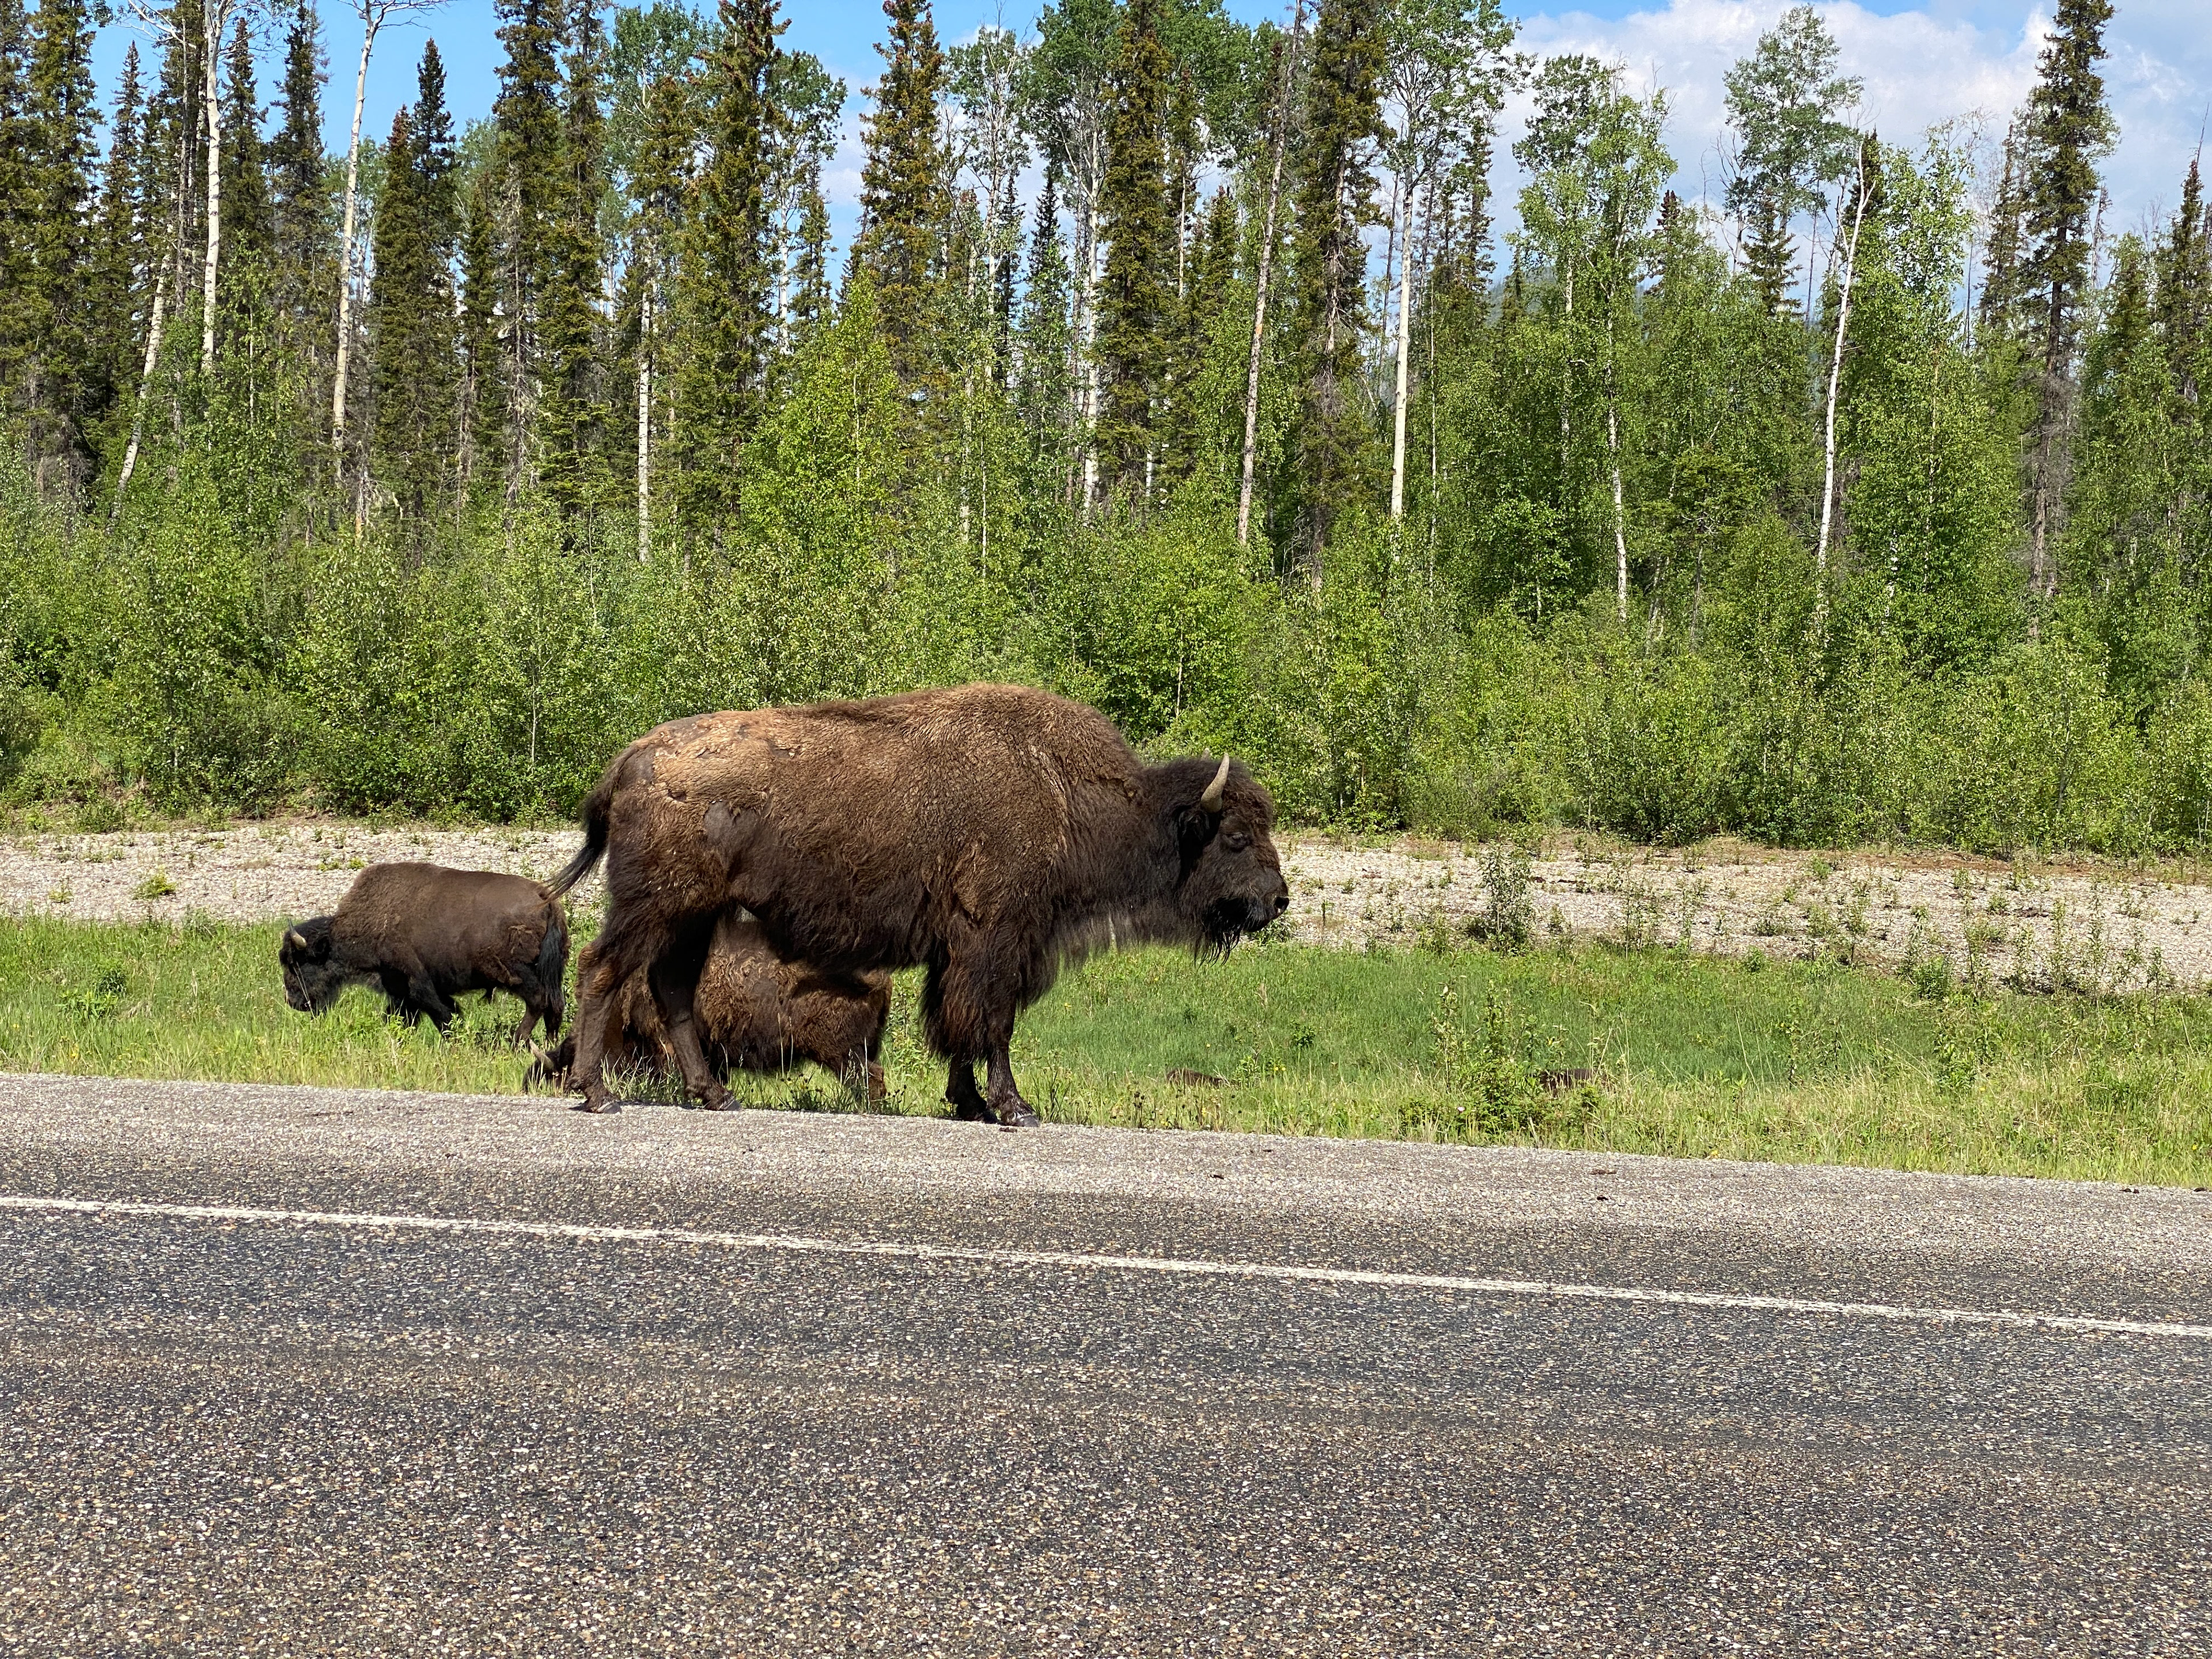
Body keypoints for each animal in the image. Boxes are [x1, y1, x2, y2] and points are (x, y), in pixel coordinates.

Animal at [279, 862, 568, 1044]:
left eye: (297, 964)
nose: (293, 1002)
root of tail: (547, 900)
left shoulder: (415, 983)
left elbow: (442, 1016)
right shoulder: (402, 991)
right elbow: (405, 1017)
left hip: (518, 974)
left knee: (539, 1001)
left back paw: (517, 1042)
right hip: (551, 970)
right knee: (555, 1006)